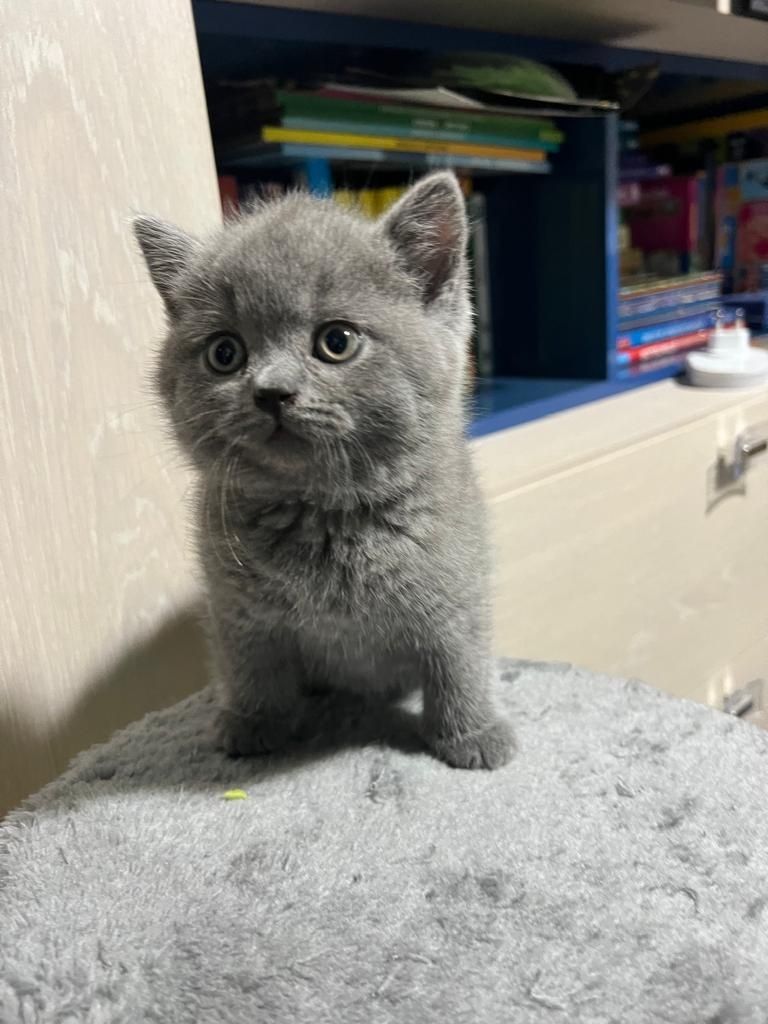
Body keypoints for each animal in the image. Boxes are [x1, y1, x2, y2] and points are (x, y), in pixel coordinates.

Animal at [135, 174, 514, 770]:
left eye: (336, 341)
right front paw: (252, 724)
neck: (324, 516)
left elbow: (460, 663)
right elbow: (250, 669)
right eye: (225, 353)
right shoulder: (236, 612)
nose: (271, 392)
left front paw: (472, 735)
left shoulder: (457, 592)